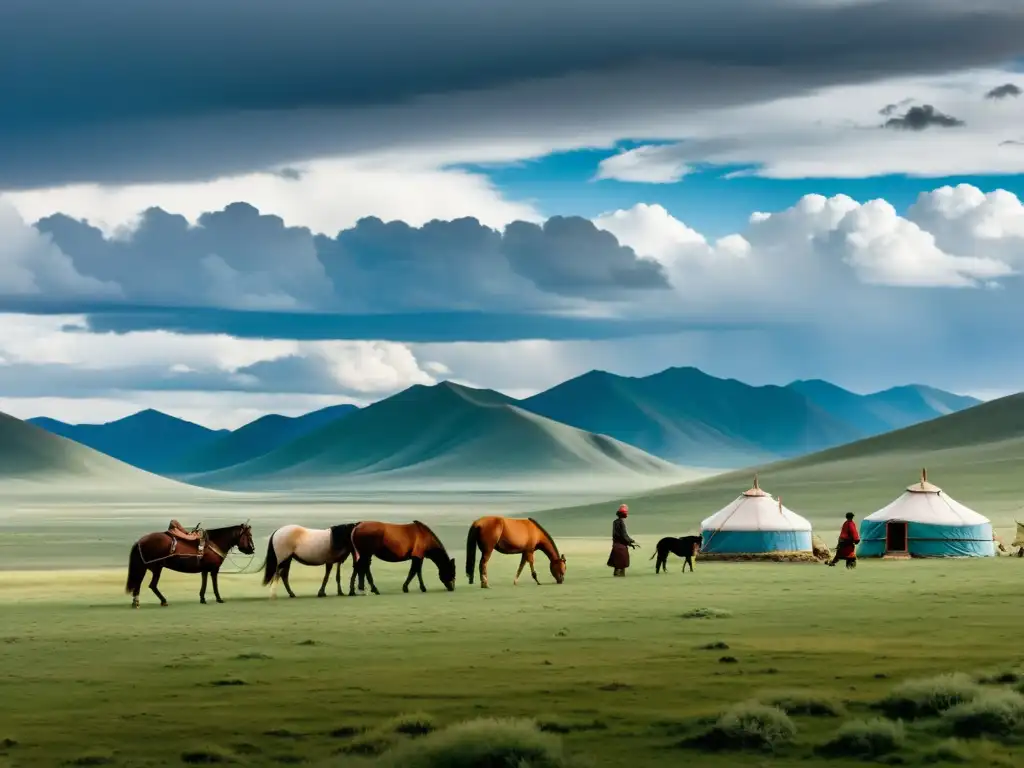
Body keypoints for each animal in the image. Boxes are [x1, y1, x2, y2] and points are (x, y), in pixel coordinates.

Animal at [123, 520, 256, 610]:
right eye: (249, 535)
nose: (252, 549)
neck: (214, 542)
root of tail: (140, 541)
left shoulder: (205, 570)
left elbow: (204, 584)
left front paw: (202, 599)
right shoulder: (214, 569)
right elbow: (214, 585)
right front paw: (219, 599)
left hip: (146, 568)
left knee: (139, 584)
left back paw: (136, 603)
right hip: (155, 568)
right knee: (151, 585)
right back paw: (162, 601)